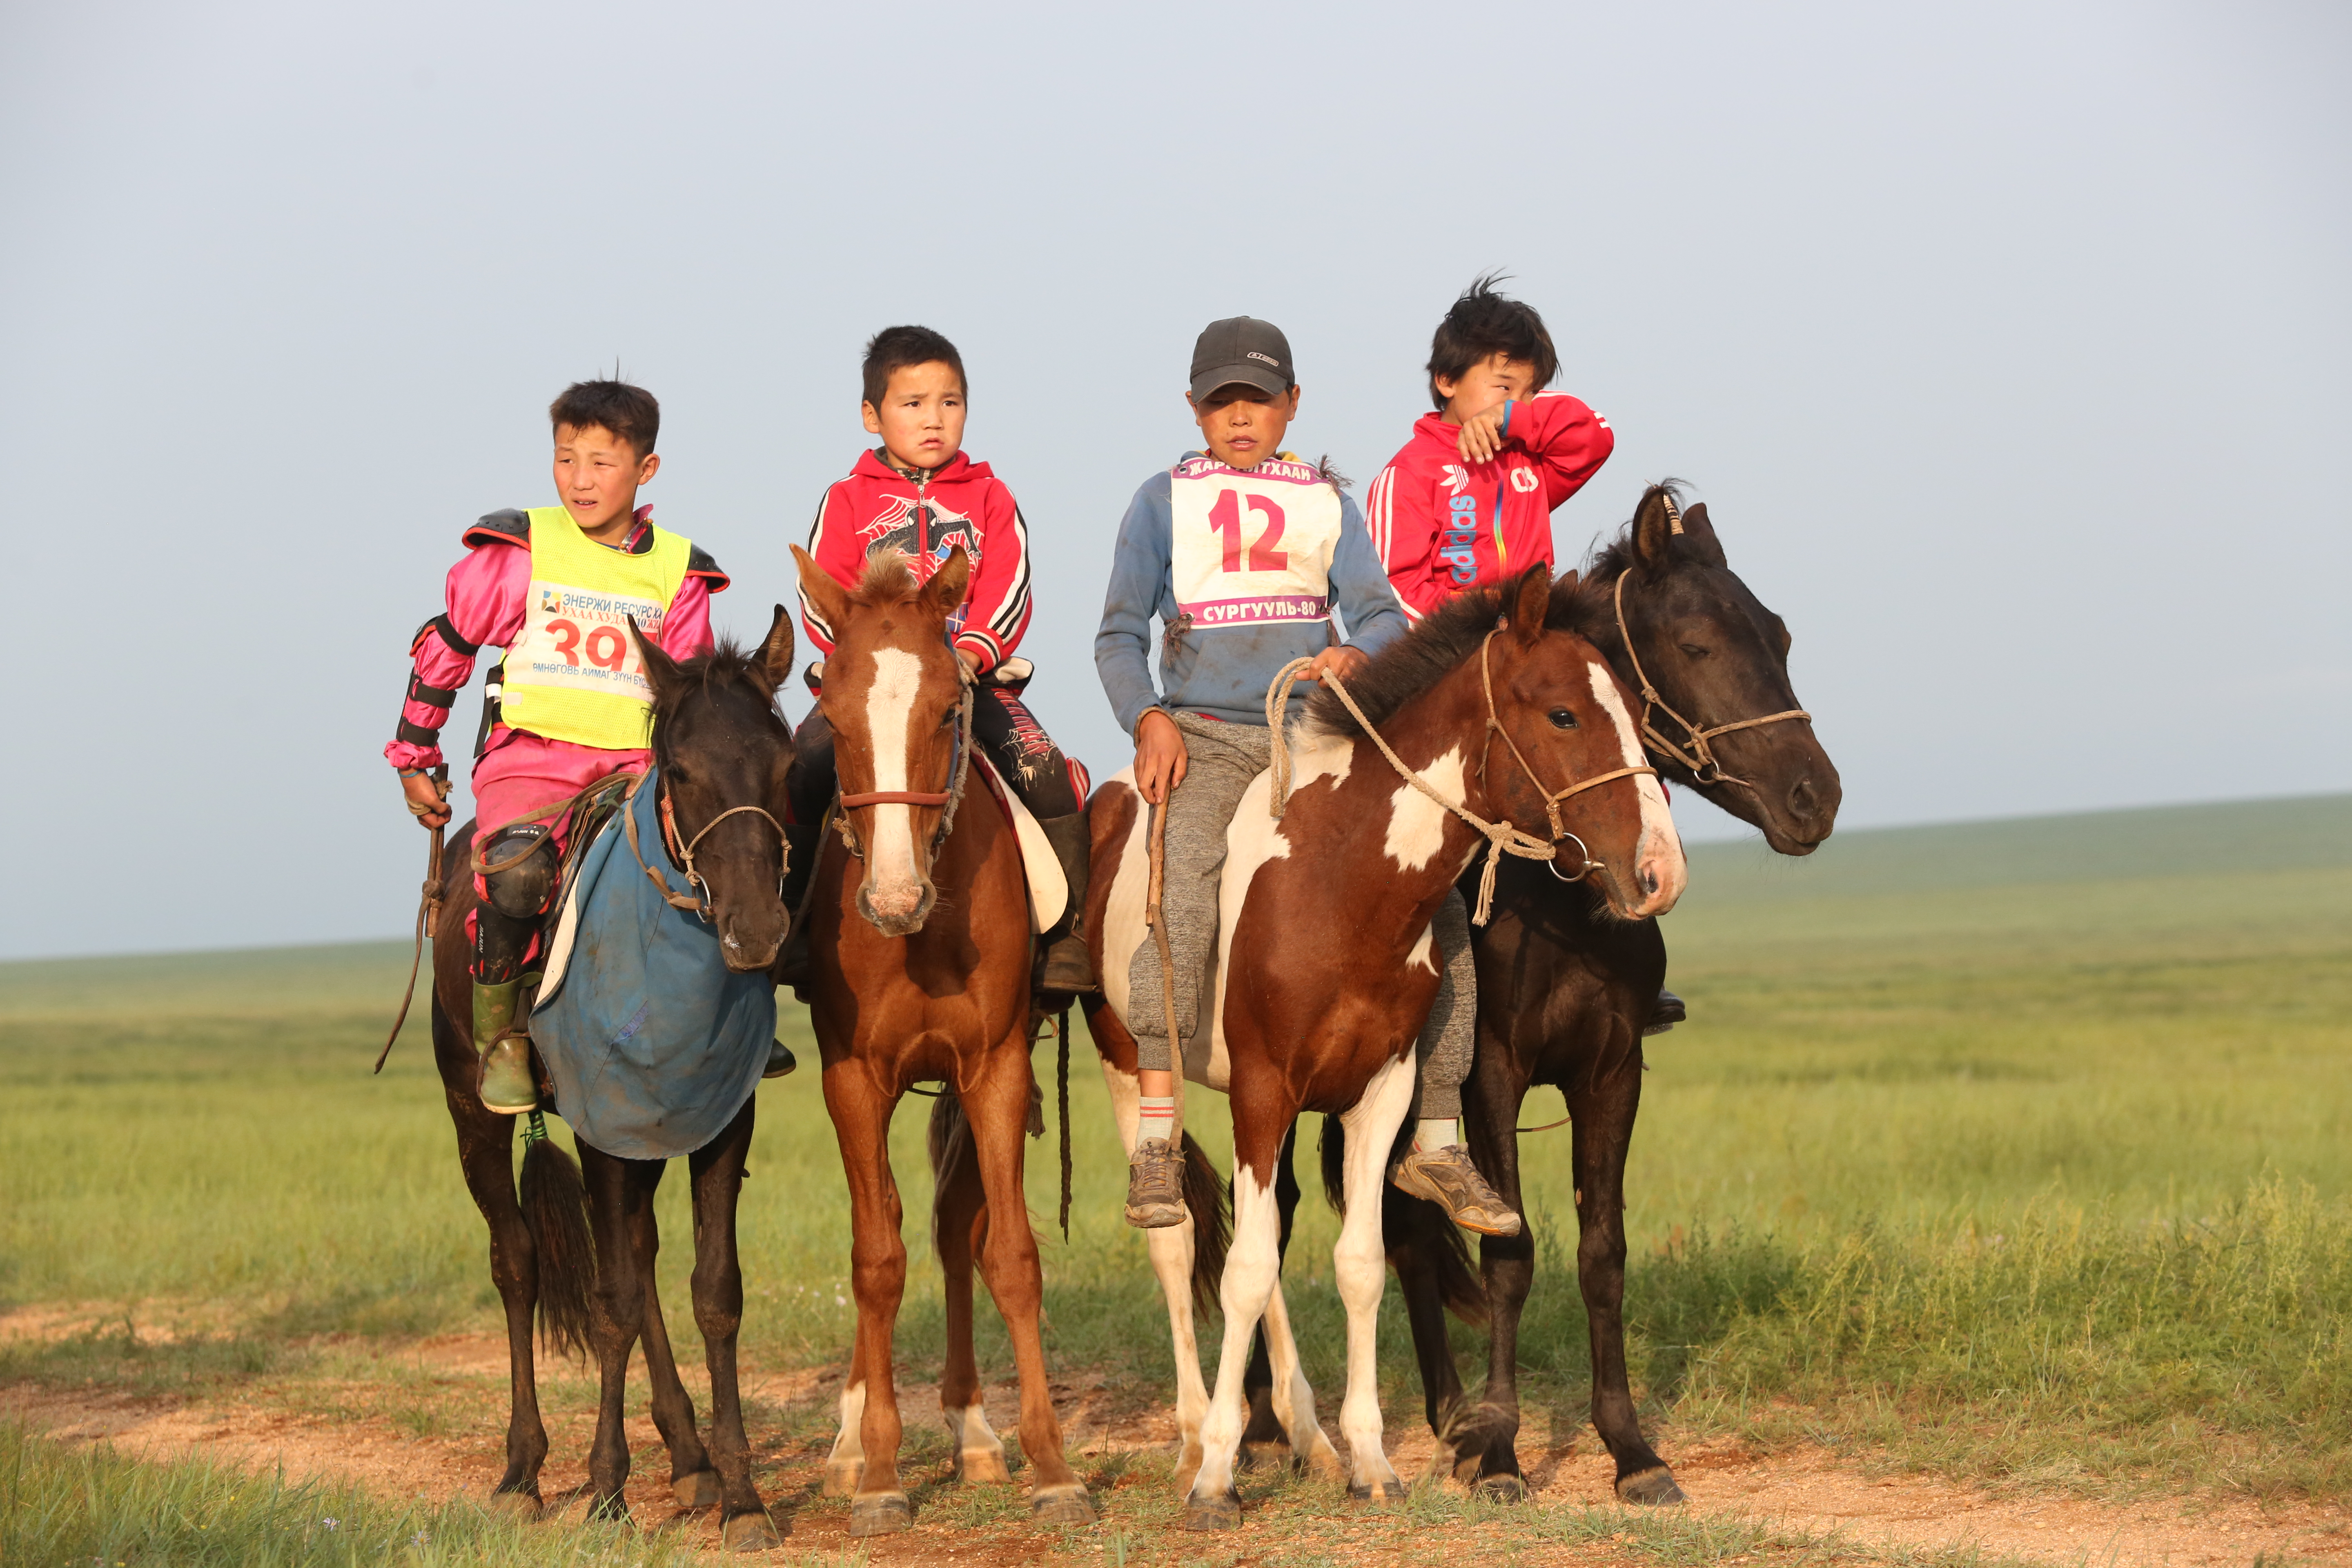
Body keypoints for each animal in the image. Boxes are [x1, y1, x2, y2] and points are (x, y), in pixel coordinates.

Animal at [419, 611, 795, 1542]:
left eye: (784, 768)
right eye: (684, 771)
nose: (757, 931)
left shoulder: (716, 1126)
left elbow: (713, 1292)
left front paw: (741, 1494)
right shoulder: (603, 1135)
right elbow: (610, 1299)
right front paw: (607, 1491)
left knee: (642, 1257)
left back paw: (690, 1459)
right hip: (472, 1113)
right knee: (519, 1262)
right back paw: (523, 1471)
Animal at [785, 545, 1087, 1542]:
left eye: (950, 712)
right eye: (834, 715)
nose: (891, 898)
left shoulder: (995, 1069)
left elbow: (1013, 1258)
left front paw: (1050, 1465)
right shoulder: (853, 1081)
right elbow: (875, 1262)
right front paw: (877, 1474)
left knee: (957, 1233)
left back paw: (975, 1432)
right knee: (886, 1230)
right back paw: (849, 1446)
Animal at [1082, 566, 1693, 1532]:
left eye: (1637, 710)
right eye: (1562, 715)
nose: (1659, 873)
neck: (1338, 880)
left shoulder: (1380, 1089)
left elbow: (1358, 1265)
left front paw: (1370, 1461)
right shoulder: (1264, 1087)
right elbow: (1244, 1271)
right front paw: (1216, 1478)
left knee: (1271, 1233)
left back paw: (1312, 1441)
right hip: (1128, 1060)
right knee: (1178, 1242)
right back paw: (1192, 1435)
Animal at [1261, 484, 1844, 1504]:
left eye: (1777, 635)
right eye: (1696, 644)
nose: (1817, 796)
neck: (1561, 896)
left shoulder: (1612, 1071)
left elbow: (1601, 1255)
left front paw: (1631, 1450)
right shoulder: (1488, 1074)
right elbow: (1509, 1251)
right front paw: (1500, 1455)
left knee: (1405, 1233)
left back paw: (1447, 1418)